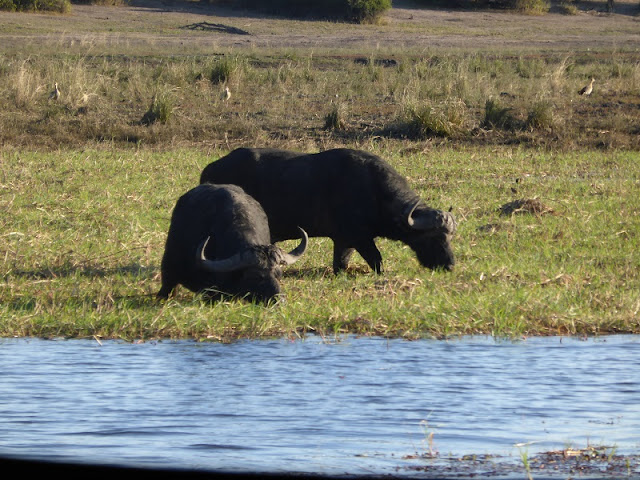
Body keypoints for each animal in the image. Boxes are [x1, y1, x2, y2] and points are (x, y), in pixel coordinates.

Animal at [200, 146, 456, 274]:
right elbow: (377, 260)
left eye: (449, 237)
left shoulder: (343, 241)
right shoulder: (359, 238)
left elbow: (340, 264)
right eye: (431, 237)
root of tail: (209, 170)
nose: (450, 265)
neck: (373, 190)